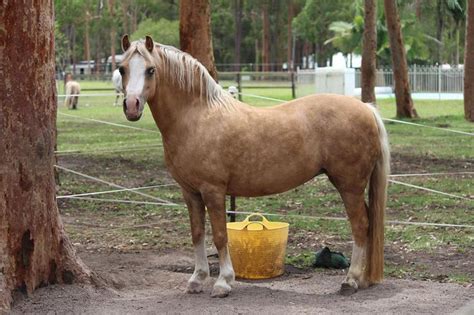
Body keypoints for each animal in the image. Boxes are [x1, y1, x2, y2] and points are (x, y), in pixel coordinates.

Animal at [117, 35, 388, 298]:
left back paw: (351, 281)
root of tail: (366, 108)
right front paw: (197, 279)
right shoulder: (190, 192)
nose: (131, 106)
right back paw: (363, 279)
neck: (196, 118)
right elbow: (197, 234)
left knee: (360, 225)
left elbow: (220, 235)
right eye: (122, 68)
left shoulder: (213, 191)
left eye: (151, 70)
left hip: (349, 186)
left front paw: (223, 283)